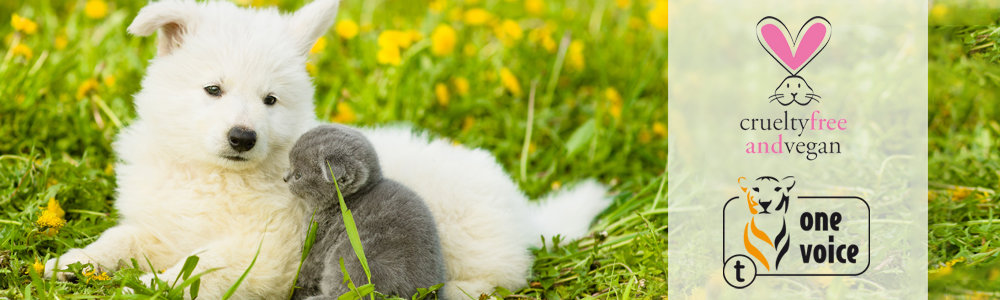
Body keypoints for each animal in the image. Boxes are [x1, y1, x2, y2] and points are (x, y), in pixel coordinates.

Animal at [288, 124, 448, 300]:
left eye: (298, 175)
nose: (284, 178)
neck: (347, 200)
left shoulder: (316, 244)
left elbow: (306, 271)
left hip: (353, 264)